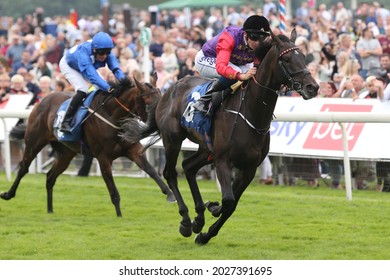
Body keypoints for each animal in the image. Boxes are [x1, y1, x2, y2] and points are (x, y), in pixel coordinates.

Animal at [0, 76, 174, 217]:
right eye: (149, 102)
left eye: (162, 97)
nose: (160, 120)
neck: (112, 116)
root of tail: (41, 101)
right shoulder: (103, 158)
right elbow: (113, 191)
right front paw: (119, 216)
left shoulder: (133, 151)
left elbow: (152, 171)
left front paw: (170, 193)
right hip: (34, 142)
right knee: (23, 168)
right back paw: (8, 194)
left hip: (66, 153)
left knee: (50, 177)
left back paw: (50, 210)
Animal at [120, 29, 318, 244]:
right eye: (287, 59)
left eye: (304, 57)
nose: (312, 87)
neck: (251, 113)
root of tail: (167, 91)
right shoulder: (223, 160)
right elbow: (229, 200)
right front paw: (210, 213)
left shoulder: (249, 168)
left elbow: (232, 204)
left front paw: (206, 230)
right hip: (172, 139)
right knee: (170, 173)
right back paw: (186, 221)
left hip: (206, 148)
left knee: (188, 166)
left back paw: (198, 217)